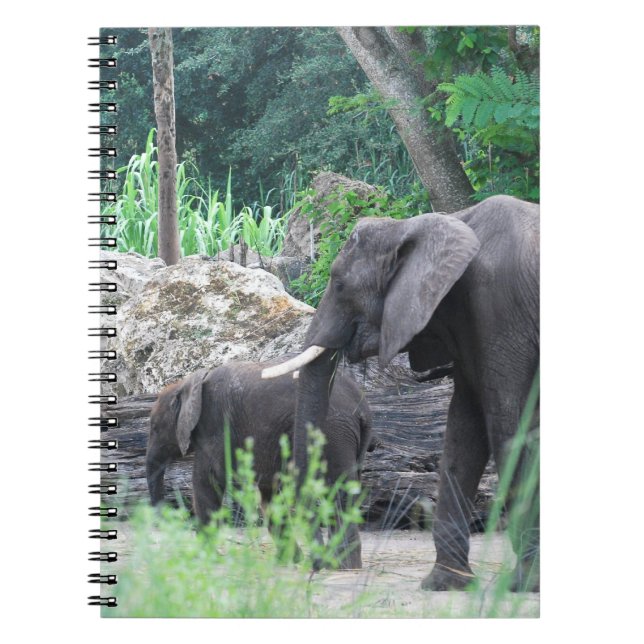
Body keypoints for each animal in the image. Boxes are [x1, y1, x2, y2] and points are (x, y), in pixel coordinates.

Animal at [145, 357, 373, 569]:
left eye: (155, 428)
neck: (186, 383)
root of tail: (363, 406)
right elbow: (269, 494)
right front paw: (289, 561)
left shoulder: (215, 424)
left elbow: (208, 481)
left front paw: (201, 557)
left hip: (332, 431)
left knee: (337, 490)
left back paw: (341, 566)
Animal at [263, 195, 540, 592]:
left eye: (339, 284)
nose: (318, 564)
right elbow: (464, 430)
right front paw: (445, 584)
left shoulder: (500, 310)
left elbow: (508, 427)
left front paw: (522, 585)